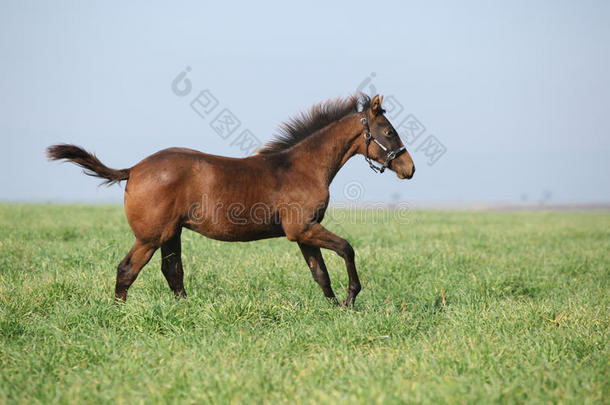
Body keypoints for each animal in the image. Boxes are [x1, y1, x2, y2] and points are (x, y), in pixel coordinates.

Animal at [48, 93, 414, 304]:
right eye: (389, 131)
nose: (409, 168)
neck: (302, 166)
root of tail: (134, 169)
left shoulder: (303, 232)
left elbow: (320, 273)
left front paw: (334, 308)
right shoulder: (304, 229)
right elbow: (346, 249)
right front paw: (351, 299)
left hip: (171, 233)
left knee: (172, 272)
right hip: (150, 236)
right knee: (127, 270)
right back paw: (120, 313)